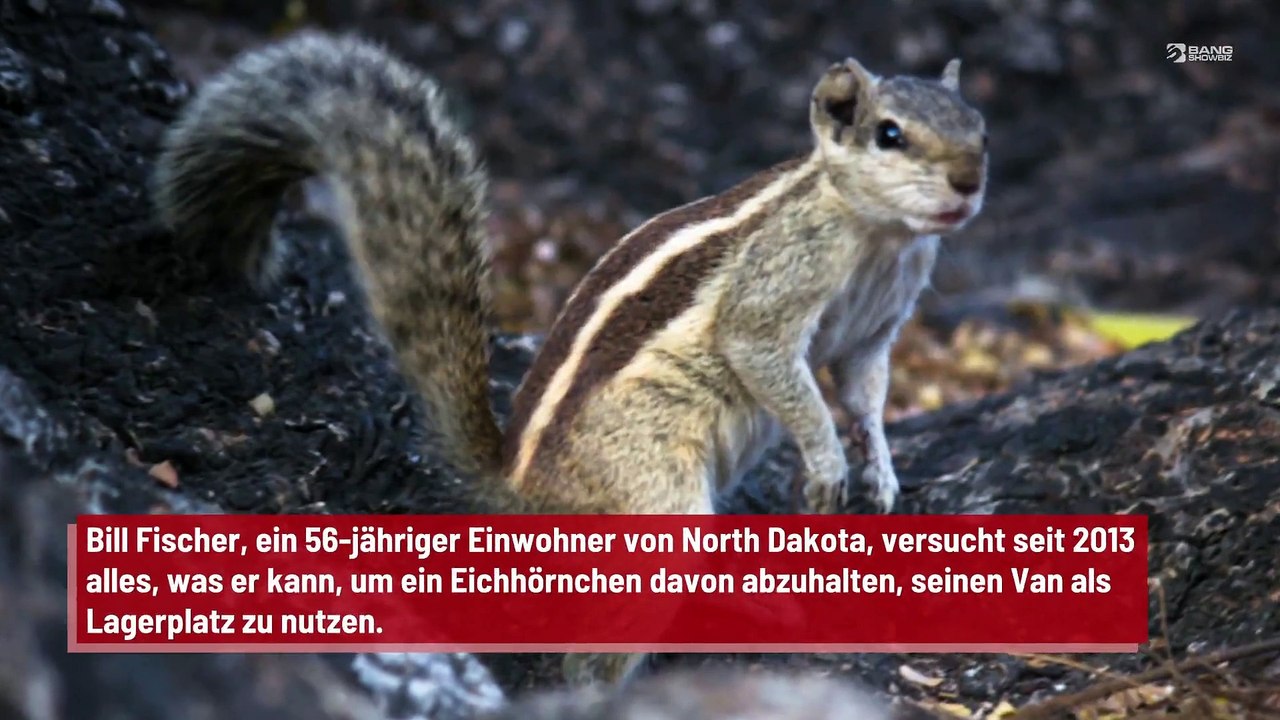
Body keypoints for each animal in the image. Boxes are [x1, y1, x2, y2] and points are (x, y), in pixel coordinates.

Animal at [150, 32, 986, 686]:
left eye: (980, 127)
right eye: (889, 134)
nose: (970, 181)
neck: (877, 233)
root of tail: (515, 491)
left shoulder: (875, 332)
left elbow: (866, 395)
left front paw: (881, 472)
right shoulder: (774, 296)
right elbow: (780, 370)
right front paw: (826, 462)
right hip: (656, 504)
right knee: (592, 655)